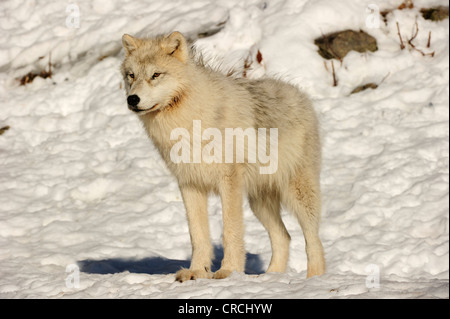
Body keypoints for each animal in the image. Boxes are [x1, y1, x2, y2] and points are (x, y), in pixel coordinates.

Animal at [119, 31, 326, 282]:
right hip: (259, 202)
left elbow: (231, 230)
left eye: (155, 75)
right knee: (284, 236)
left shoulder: (229, 181)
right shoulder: (189, 184)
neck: (189, 120)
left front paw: (229, 271)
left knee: (313, 237)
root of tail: (300, 93)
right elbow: (197, 235)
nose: (132, 99)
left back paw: (315, 277)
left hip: (297, 193)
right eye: (131, 75)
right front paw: (197, 271)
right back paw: (270, 277)